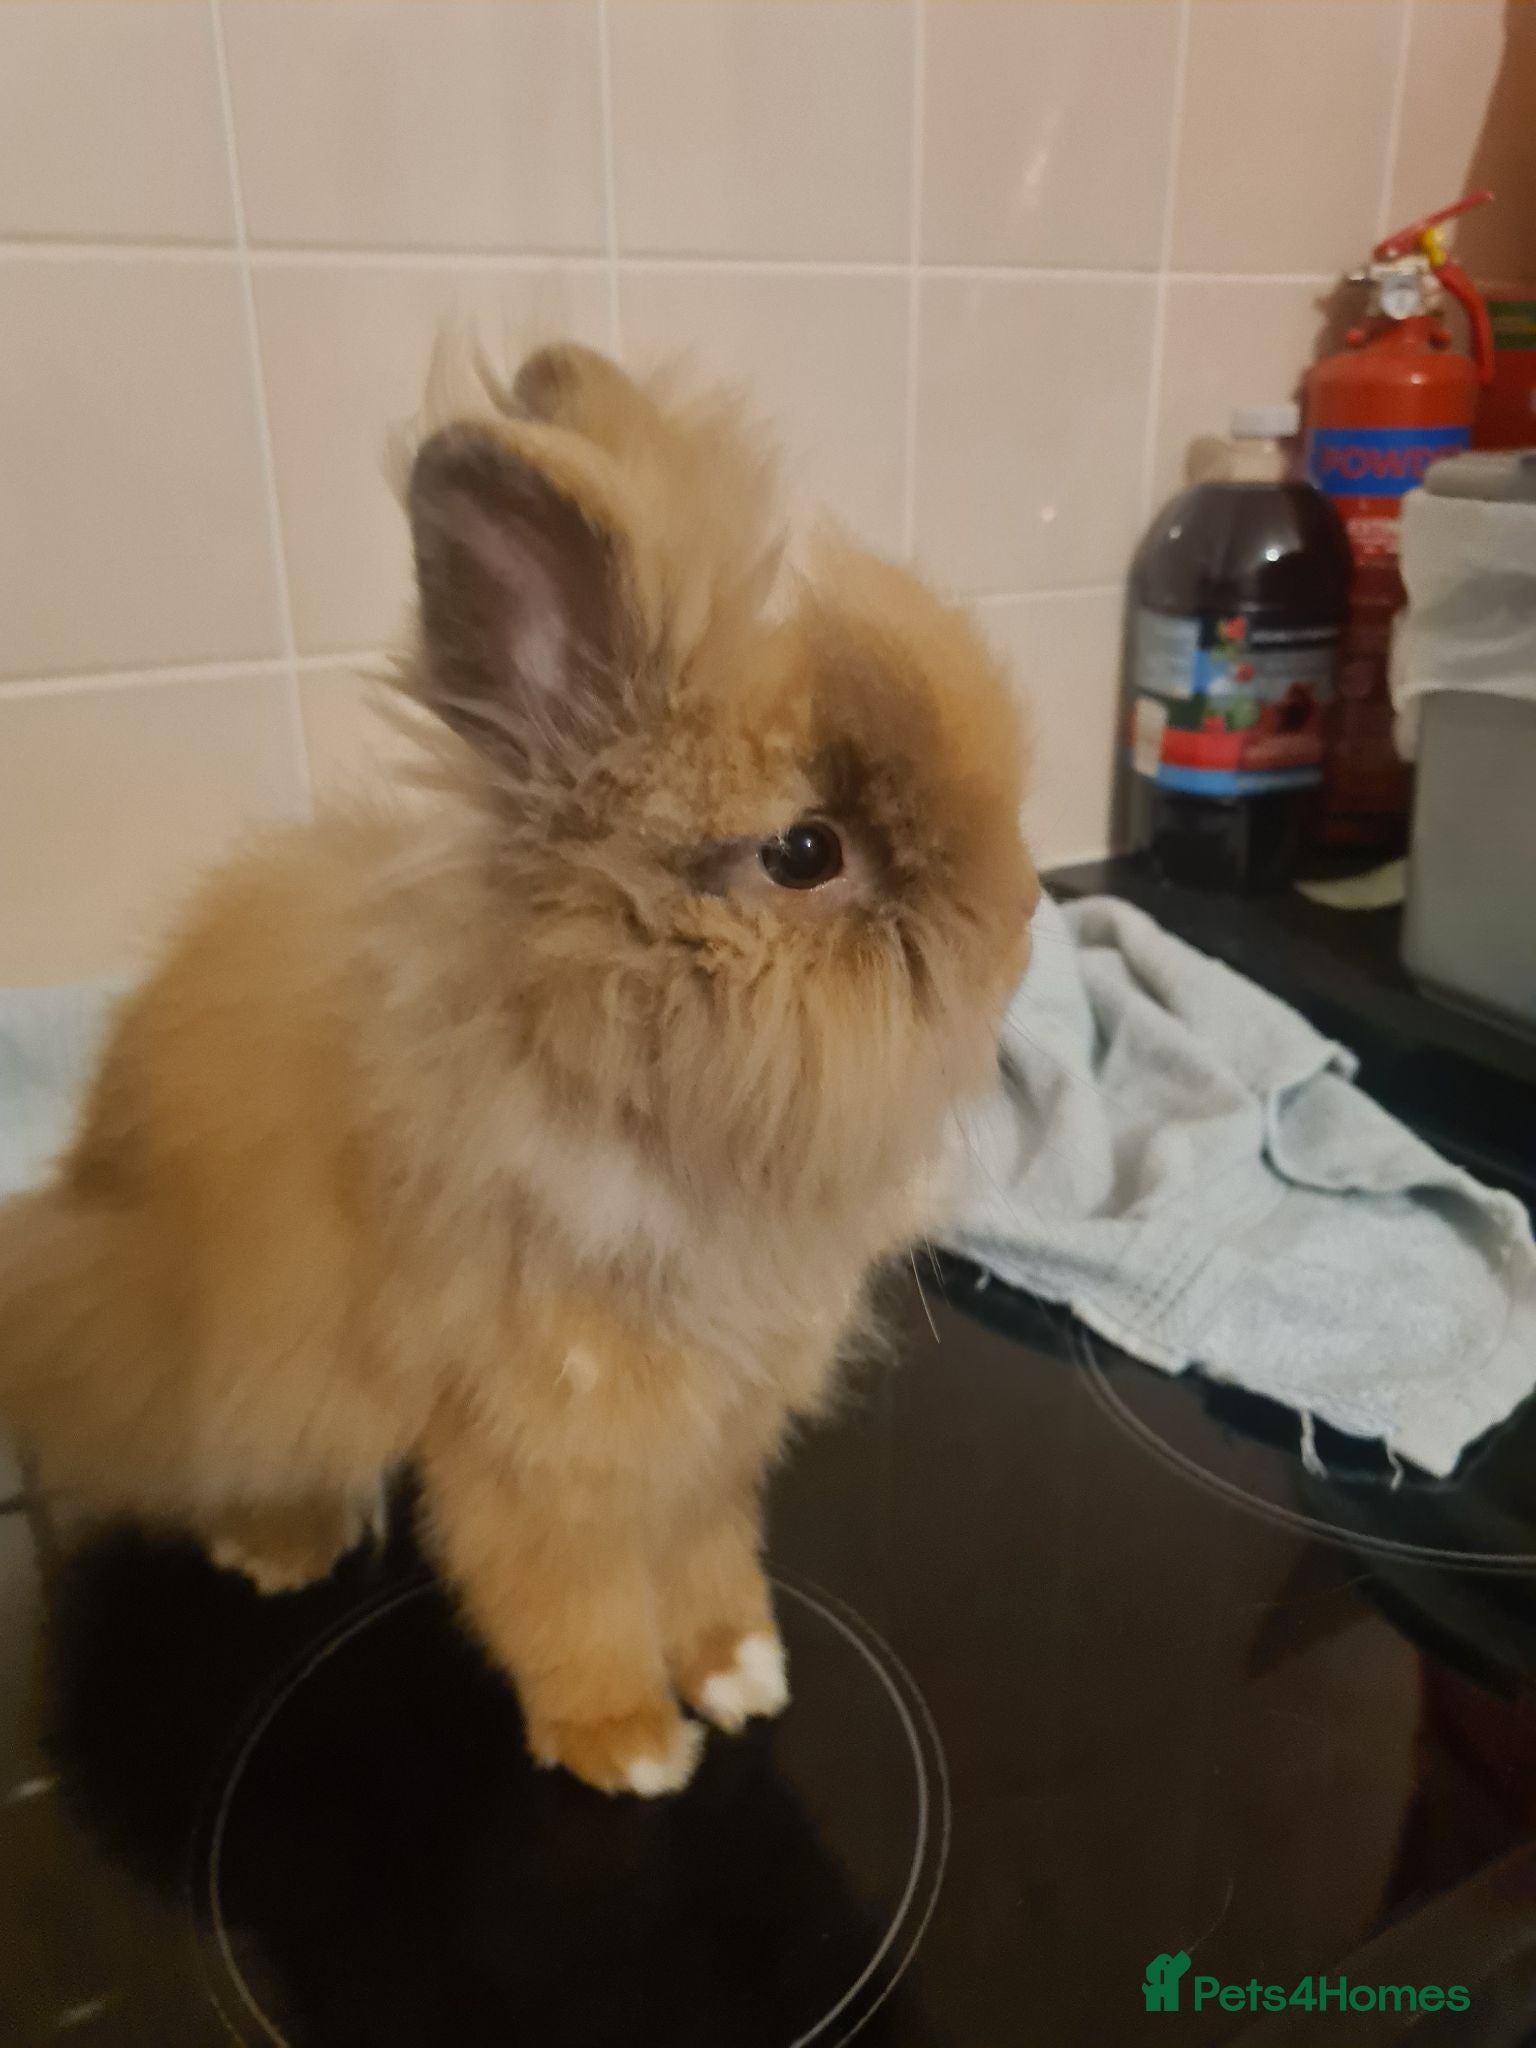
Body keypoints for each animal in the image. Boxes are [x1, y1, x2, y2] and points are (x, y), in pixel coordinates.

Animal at [0, 342, 1037, 1796]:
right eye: (806, 852)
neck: (642, 1111)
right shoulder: (538, 1456)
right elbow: (567, 1604)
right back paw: (282, 1548)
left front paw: (740, 1672)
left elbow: (705, 1562)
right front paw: (632, 1746)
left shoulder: (709, 1449)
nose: (1025, 928)